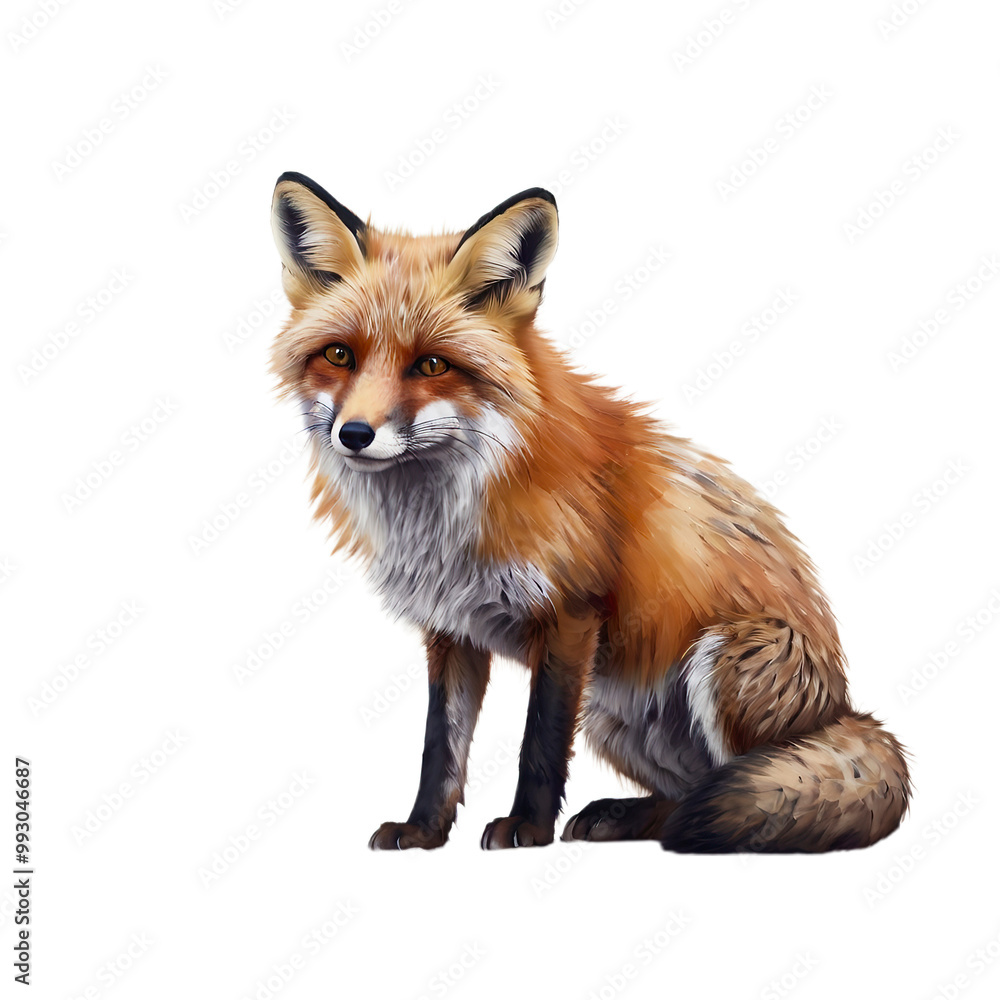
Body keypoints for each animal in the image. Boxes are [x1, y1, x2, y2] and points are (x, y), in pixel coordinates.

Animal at [269, 171, 911, 853]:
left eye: (432, 364)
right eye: (339, 355)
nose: (354, 434)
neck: (447, 513)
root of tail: (847, 710)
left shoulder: (572, 615)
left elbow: (541, 742)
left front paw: (526, 827)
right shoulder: (451, 629)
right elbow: (440, 746)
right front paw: (423, 829)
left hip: (722, 658)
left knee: (751, 784)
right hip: (610, 713)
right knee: (691, 792)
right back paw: (626, 818)